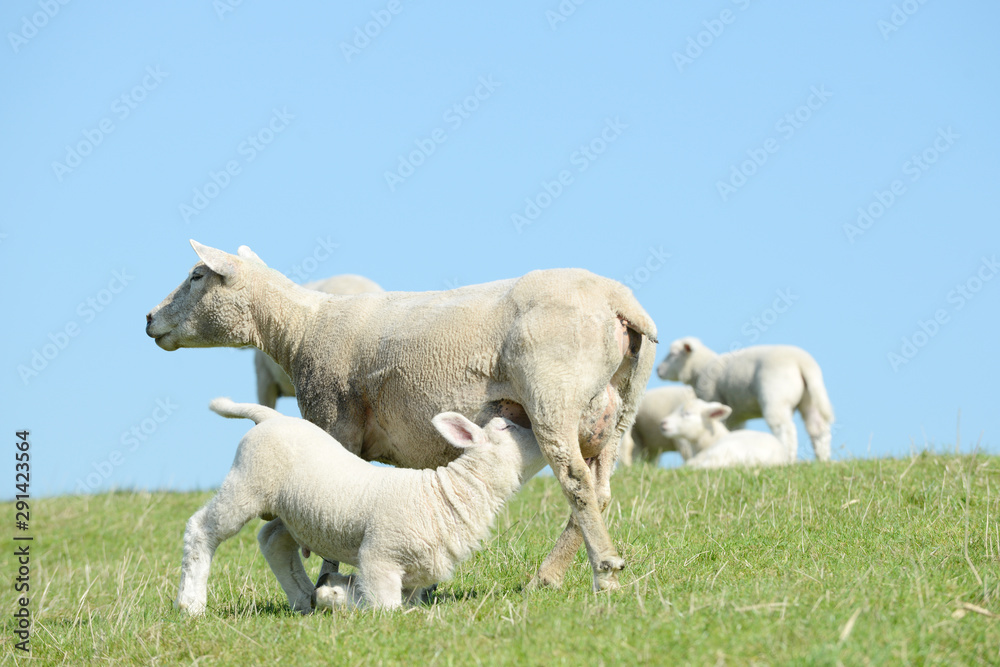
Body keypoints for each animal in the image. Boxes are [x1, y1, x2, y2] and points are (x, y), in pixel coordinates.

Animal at [175, 398, 545, 614]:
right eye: (506, 426)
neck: (445, 497)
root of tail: (271, 417)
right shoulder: (379, 558)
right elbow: (384, 608)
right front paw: (339, 599)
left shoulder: (415, 581)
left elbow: (395, 604)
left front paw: (332, 594)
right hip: (247, 483)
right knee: (201, 529)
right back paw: (191, 603)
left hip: (293, 510)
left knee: (273, 540)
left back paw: (303, 598)